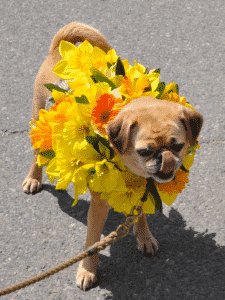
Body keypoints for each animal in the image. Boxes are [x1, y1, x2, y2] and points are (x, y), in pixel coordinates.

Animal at [22, 21, 203, 290]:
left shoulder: (143, 191)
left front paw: (144, 236)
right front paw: (87, 270)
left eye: (178, 146)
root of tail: (58, 51)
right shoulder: (99, 205)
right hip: (39, 117)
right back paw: (33, 179)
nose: (166, 159)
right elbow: (92, 241)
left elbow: (139, 216)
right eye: (144, 151)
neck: (132, 170)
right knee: (38, 156)